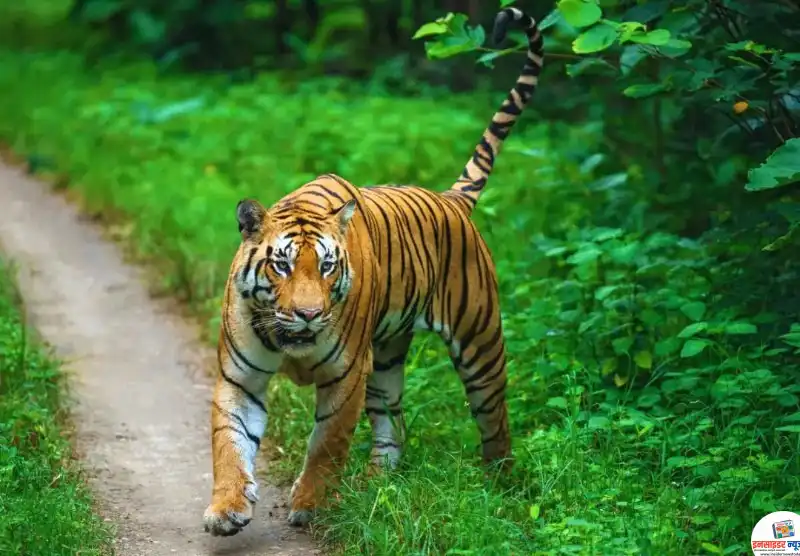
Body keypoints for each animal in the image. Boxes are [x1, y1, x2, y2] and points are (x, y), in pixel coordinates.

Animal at [203, 6, 544, 536]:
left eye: (326, 267)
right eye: (281, 265)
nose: (308, 315)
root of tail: (451, 199)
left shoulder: (347, 375)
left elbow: (326, 444)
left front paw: (311, 504)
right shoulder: (240, 376)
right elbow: (229, 443)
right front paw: (226, 509)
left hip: (480, 344)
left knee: (495, 421)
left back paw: (500, 487)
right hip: (386, 359)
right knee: (394, 422)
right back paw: (375, 482)